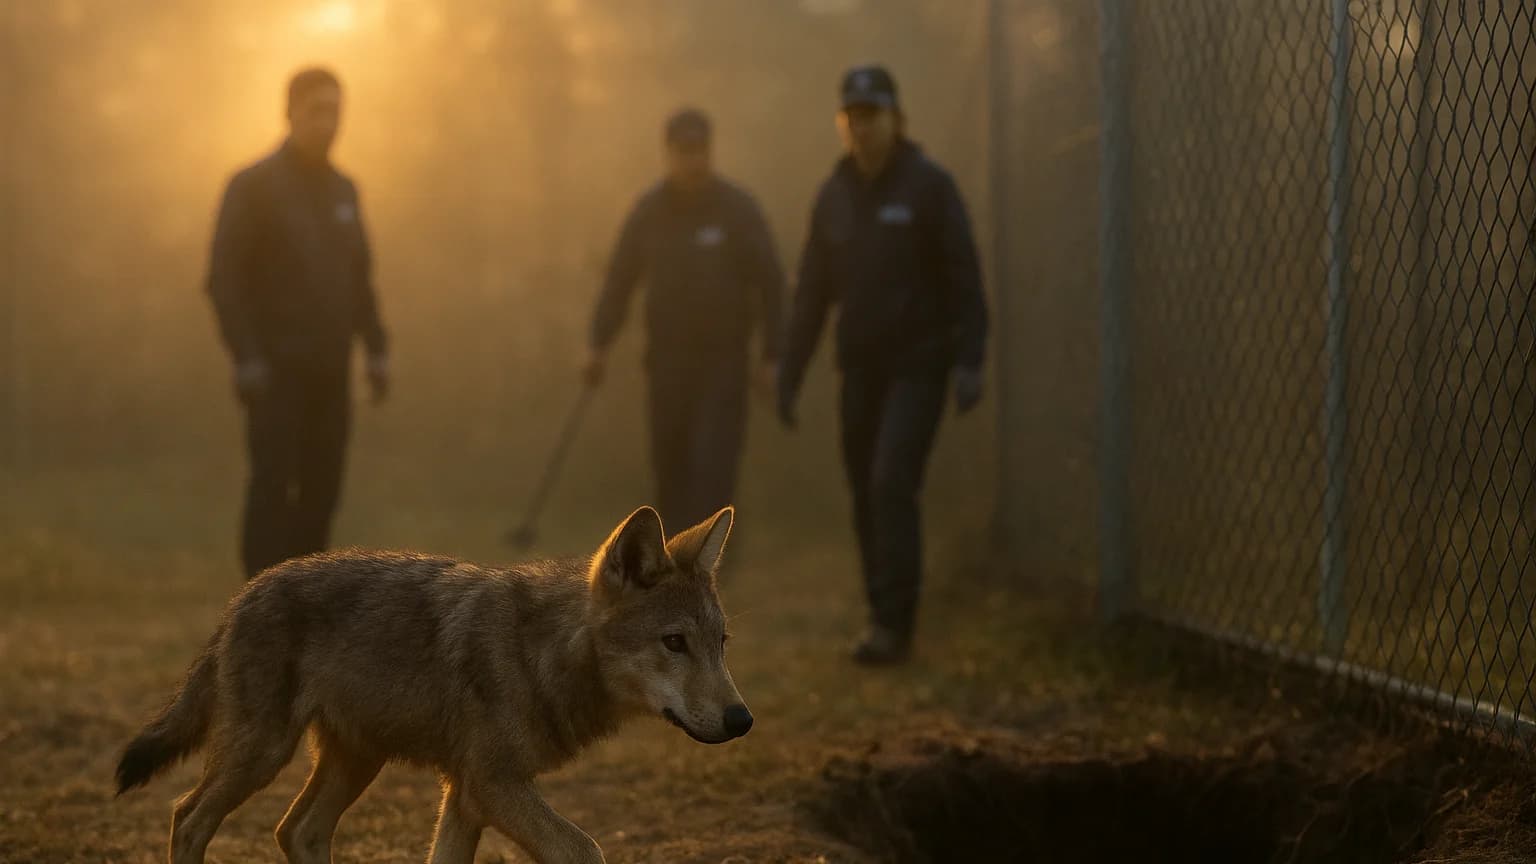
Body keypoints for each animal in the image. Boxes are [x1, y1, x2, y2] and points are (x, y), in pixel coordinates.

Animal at [115, 505, 751, 864]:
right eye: (674, 643)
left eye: (721, 643)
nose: (742, 720)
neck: (538, 654)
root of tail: (244, 593)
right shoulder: (492, 785)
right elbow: (586, 848)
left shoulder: (466, 794)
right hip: (265, 753)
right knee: (188, 817)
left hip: (357, 760)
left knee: (296, 830)